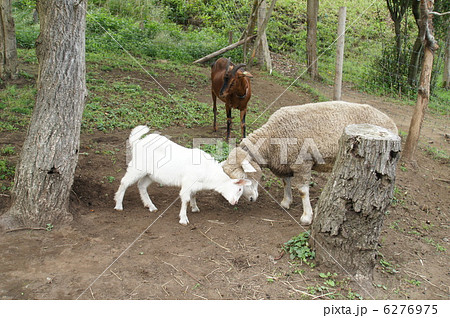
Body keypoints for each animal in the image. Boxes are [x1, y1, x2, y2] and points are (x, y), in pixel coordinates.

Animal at [114, 125, 251, 225]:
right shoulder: (188, 182)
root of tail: (137, 142)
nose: (235, 202)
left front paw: (195, 208)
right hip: (137, 167)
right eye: (239, 189)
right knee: (124, 182)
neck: (208, 172)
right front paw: (183, 219)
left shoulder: (194, 185)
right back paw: (119, 205)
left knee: (141, 185)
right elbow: (185, 199)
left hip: (150, 174)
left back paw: (151, 206)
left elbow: (194, 195)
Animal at [221, 100, 398, 225]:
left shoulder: (303, 162)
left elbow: (303, 191)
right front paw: (286, 202)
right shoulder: (286, 161)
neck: (272, 138)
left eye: (245, 177)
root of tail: (391, 122)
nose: (251, 200)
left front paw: (307, 217)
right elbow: (286, 182)